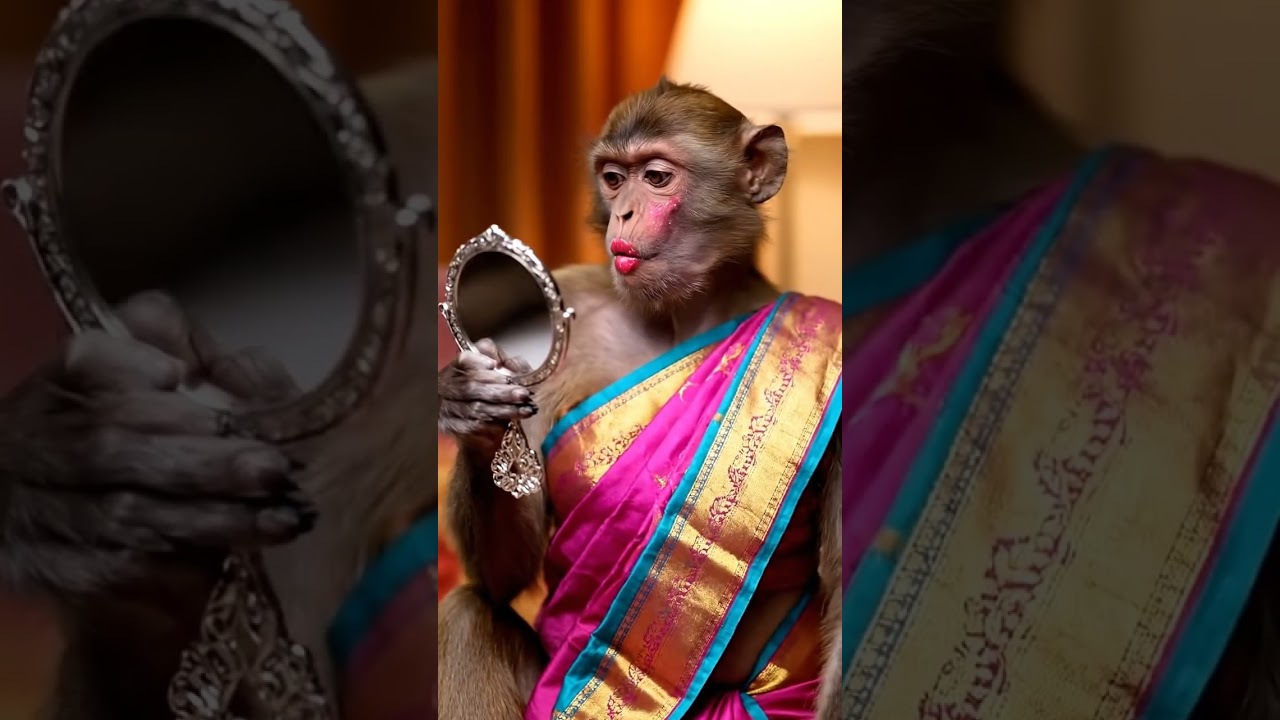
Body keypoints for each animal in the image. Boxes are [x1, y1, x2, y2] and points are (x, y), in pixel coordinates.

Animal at [437, 78, 844, 719]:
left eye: (655, 177)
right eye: (612, 178)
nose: (623, 212)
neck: (683, 313)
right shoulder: (570, 300)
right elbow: (500, 578)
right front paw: (475, 411)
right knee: (469, 611)